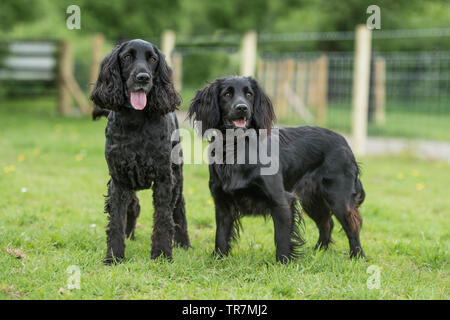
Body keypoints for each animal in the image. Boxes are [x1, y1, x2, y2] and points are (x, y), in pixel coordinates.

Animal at [90, 39, 191, 264]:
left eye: (152, 59)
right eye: (127, 57)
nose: (143, 77)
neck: (136, 121)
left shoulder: (164, 178)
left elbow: (163, 218)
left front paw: (162, 254)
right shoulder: (119, 178)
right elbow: (116, 220)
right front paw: (114, 256)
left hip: (178, 175)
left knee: (179, 208)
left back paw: (184, 243)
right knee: (134, 205)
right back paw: (130, 235)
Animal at [187, 75, 366, 262]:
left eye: (249, 94)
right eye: (227, 94)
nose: (242, 108)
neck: (236, 148)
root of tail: (345, 142)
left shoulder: (282, 201)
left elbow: (281, 237)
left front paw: (283, 262)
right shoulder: (222, 204)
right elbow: (221, 235)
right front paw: (218, 259)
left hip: (337, 197)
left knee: (352, 225)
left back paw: (357, 256)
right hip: (312, 199)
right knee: (327, 223)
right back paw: (318, 251)